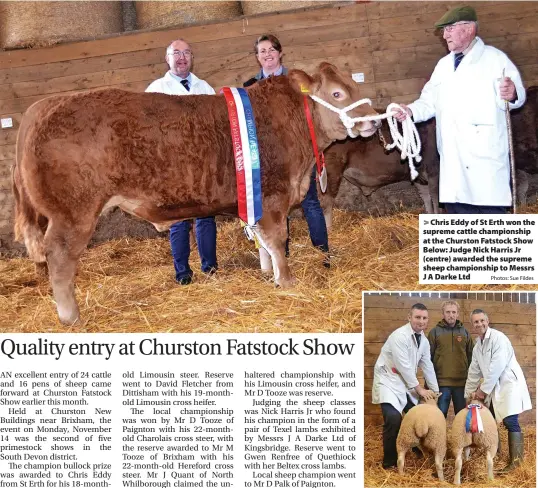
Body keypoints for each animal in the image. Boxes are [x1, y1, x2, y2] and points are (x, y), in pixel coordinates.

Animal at [11, 63, 372, 326]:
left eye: (355, 87)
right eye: (337, 92)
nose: (371, 120)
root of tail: (43, 106)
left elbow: (263, 241)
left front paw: (268, 273)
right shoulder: (273, 195)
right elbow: (277, 238)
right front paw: (287, 281)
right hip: (74, 212)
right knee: (59, 257)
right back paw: (71, 316)